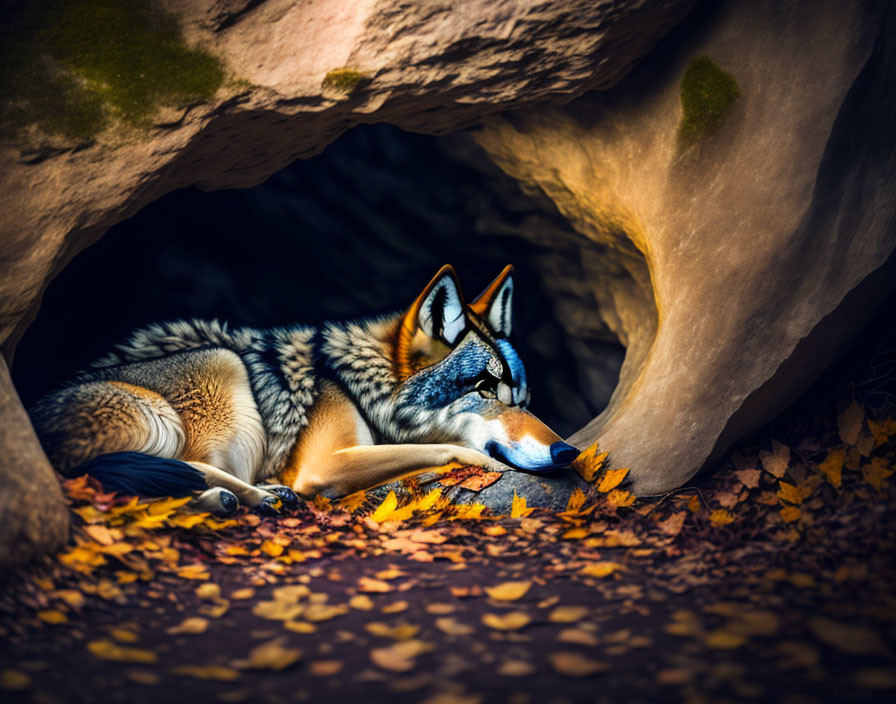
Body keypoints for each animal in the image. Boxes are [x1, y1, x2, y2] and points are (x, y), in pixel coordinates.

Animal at [29, 266, 580, 516]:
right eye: (485, 388)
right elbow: (443, 448)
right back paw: (251, 495)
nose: (567, 451)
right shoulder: (325, 464)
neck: (359, 389)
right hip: (222, 367)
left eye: (522, 398)